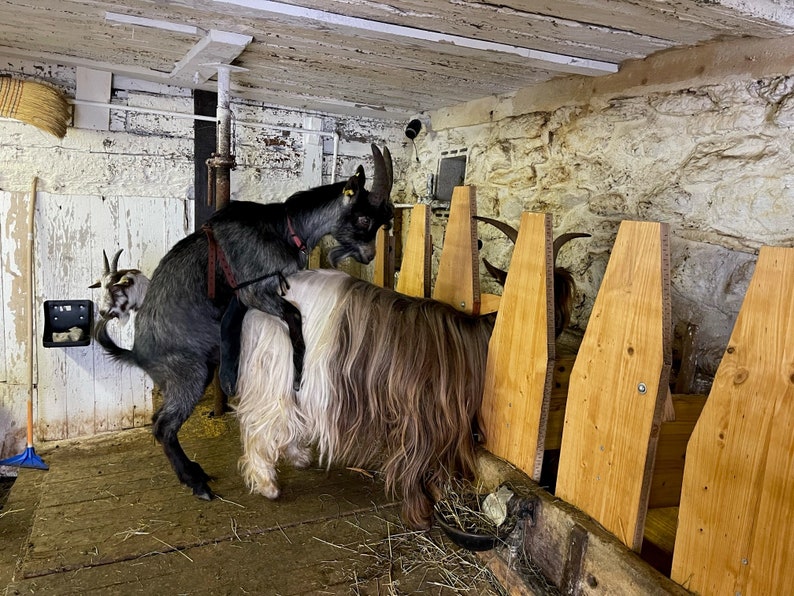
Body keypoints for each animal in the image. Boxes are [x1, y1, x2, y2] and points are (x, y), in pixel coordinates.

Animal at [93, 146, 392, 502]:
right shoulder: (254, 290)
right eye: (363, 218)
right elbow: (294, 318)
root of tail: (137, 353)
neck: (282, 228)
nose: (369, 255)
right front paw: (298, 372)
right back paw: (196, 481)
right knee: (163, 426)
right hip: (190, 374)